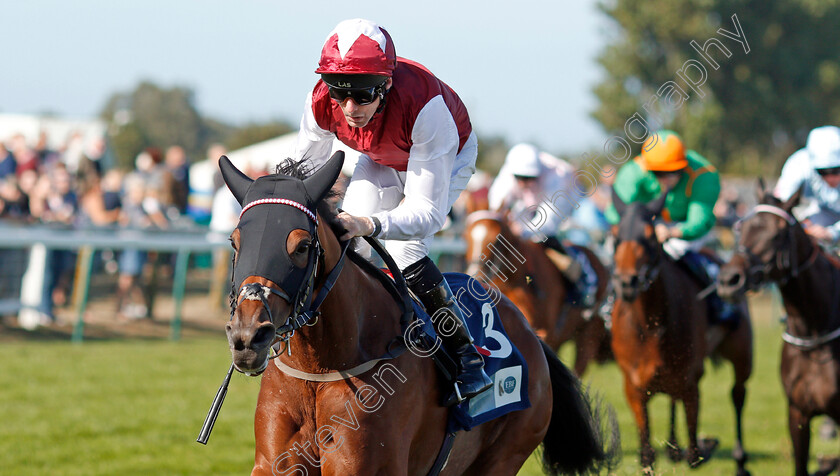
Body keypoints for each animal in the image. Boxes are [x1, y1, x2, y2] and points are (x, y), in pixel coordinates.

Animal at [612, 188, 756, 474]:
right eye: (616, 237)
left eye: (650, 237)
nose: (627, 282)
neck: (650, 327)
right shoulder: (633, 387)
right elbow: (647, 454)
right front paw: (669, 450)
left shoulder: (692, 380)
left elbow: (695, 455)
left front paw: (704, 445)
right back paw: (673, 447)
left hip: (741, 354)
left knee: (737, 394)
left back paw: (739, 459)